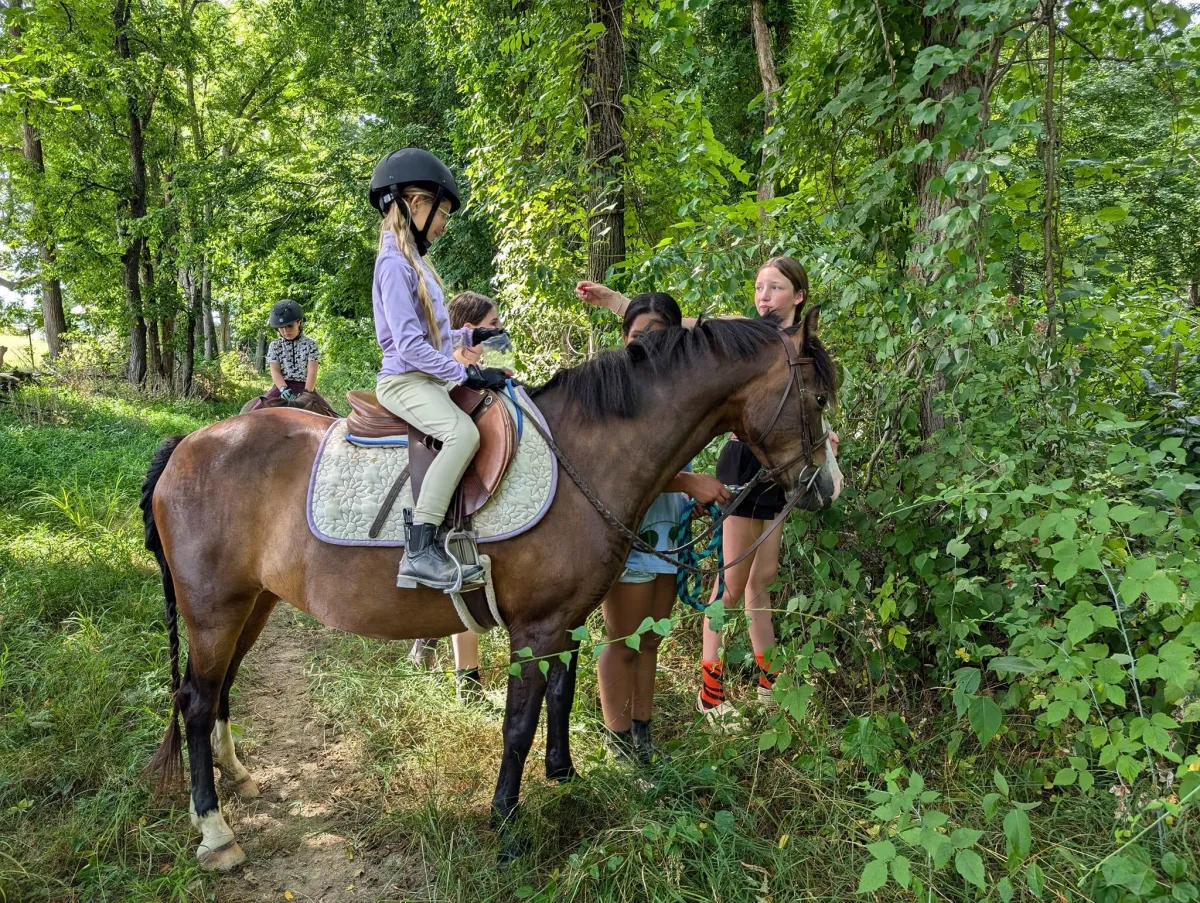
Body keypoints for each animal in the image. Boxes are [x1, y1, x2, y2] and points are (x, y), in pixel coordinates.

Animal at [140, 309, 842, 871]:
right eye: (816, 398)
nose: (826, 487)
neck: (583, 457)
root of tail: (187, 446)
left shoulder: (566, 622)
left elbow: (561, 694)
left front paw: (563, 774)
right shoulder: (534, 628)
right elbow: (519, 722)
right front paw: (505, 821)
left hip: (251, 604)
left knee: (219, 688)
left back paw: (239, 777)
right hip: (213, 609)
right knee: (196, 701)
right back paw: (216, 832)